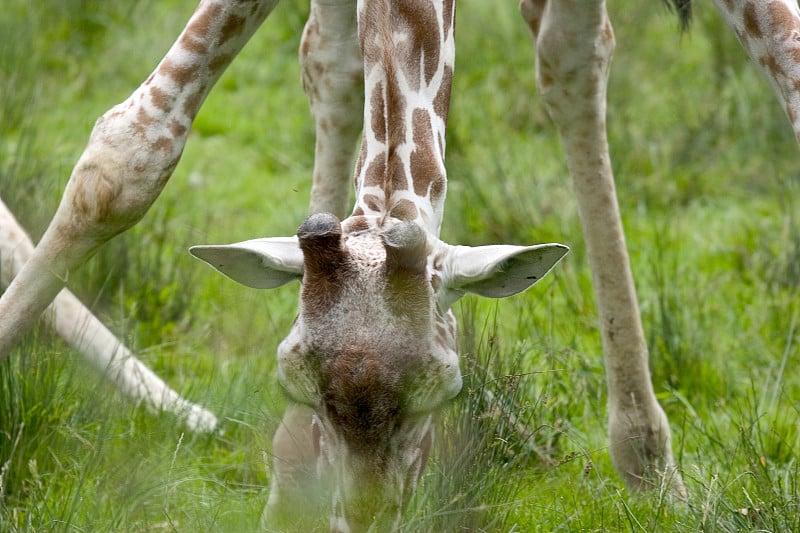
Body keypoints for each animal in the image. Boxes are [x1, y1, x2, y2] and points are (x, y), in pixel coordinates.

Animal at [0, 0, 800, 528]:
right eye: (292, 380)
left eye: (443, 393)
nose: (360, 517)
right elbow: (128, 149)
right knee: (331, 53)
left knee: (571, 53)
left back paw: (649, 465)